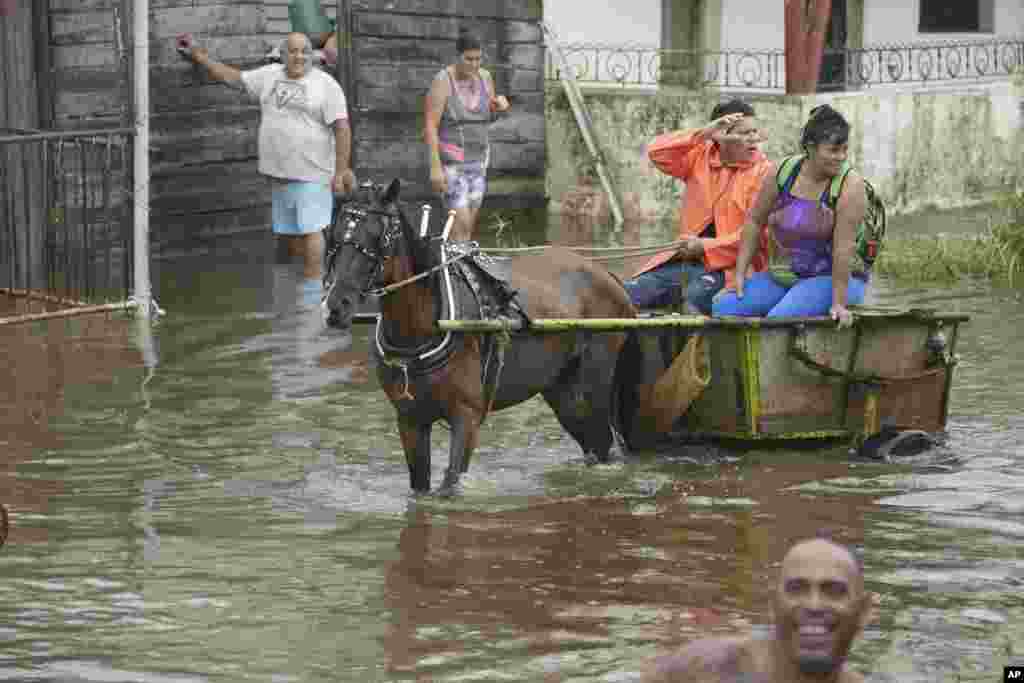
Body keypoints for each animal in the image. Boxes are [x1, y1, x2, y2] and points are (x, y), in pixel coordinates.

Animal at [323, 179, 634, 493]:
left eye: (378, 235)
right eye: (333, 235)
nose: (336, 305)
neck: (427, 324)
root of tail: (606, 275)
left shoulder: (467, 416)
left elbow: (451, 483)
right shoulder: (410, 420)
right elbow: (420, 485)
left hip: (592, 384)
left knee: (603, 442)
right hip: (562, 390)